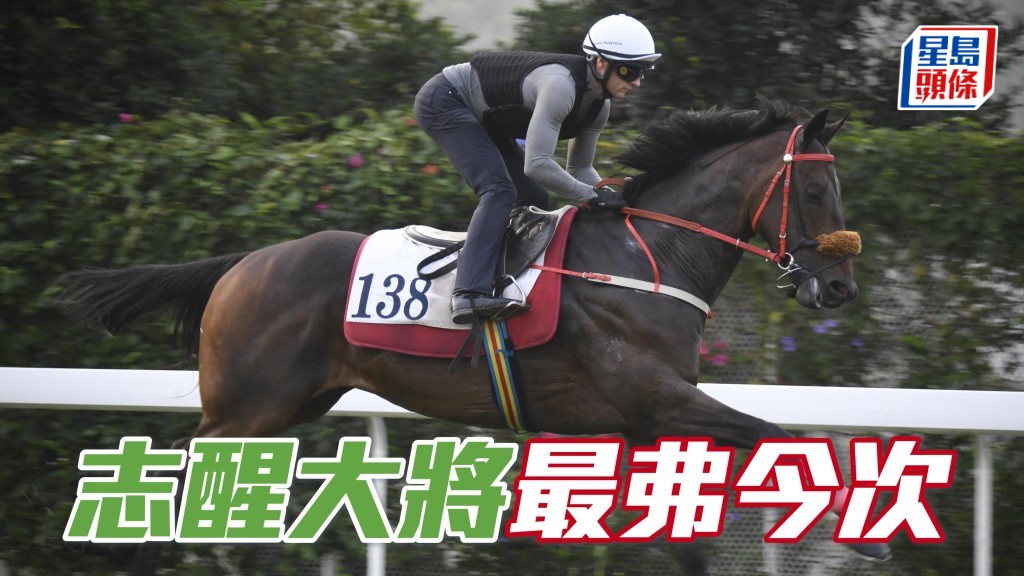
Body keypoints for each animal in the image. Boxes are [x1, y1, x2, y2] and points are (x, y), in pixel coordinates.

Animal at [58, 98, 881, 575]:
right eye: (815, 190)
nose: (839, 288)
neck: (644, 257)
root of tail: (240, 264)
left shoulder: (648, 422)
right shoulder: (657, 400)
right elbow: (785, 437)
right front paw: (868, 529)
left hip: (291, 405)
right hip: (247, 409)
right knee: (175, 470)